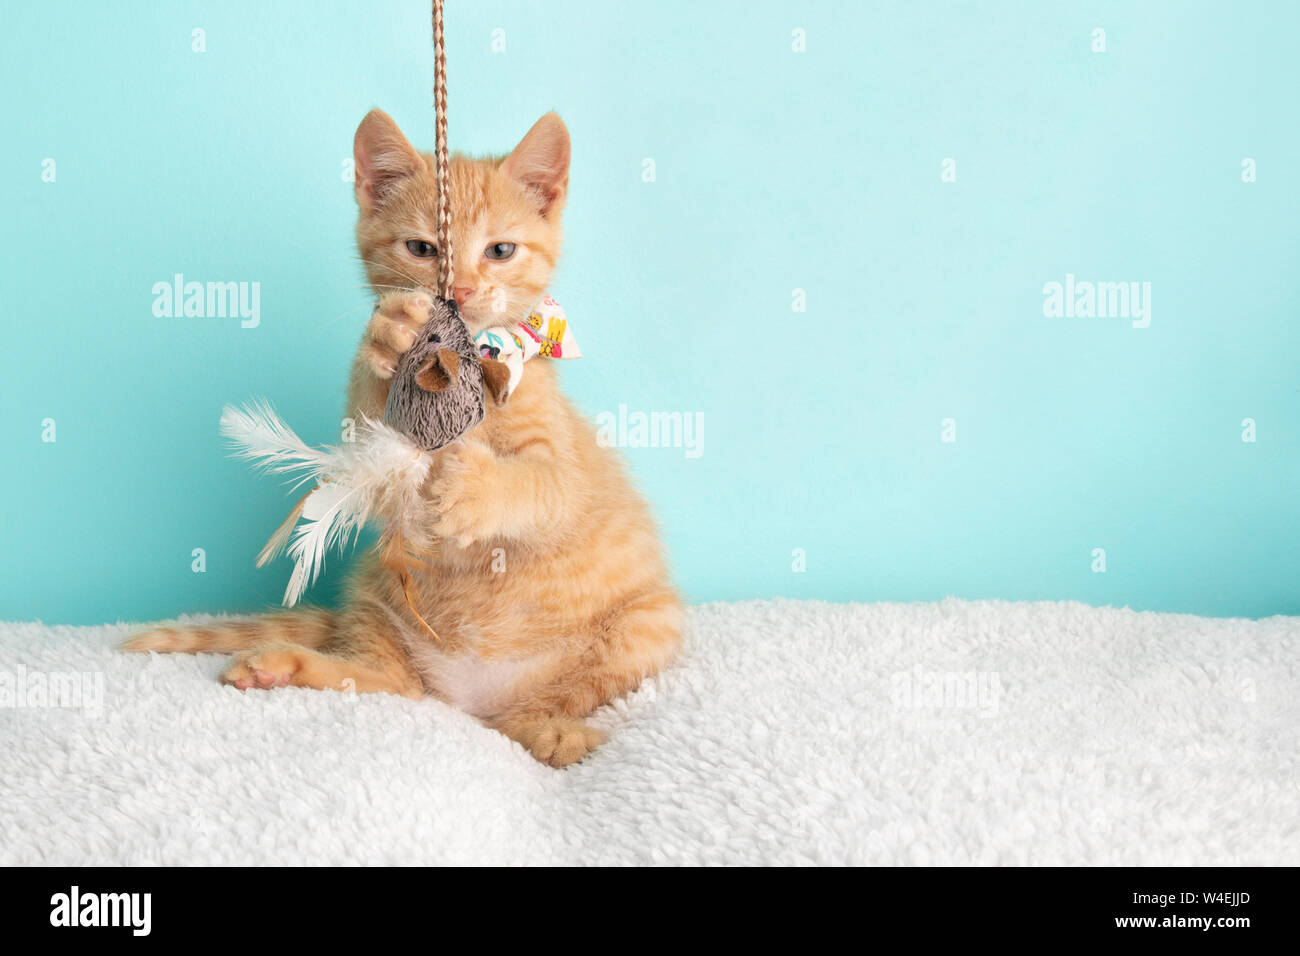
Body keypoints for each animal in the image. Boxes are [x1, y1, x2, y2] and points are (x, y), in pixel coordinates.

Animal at [122, 110, 686, 770]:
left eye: (501, 251)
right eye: (422, 248)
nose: (459, 293)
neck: (471, 362)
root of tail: (468, 698)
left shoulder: (564, 471)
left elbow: (543, 485)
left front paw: (479, 489)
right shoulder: (373, 438)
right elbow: (371, 432)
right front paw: (391, 335)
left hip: (648, 625)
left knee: (541, 706)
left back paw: (551, 730)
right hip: (378, 597)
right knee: (391, 685)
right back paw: (284, 667)